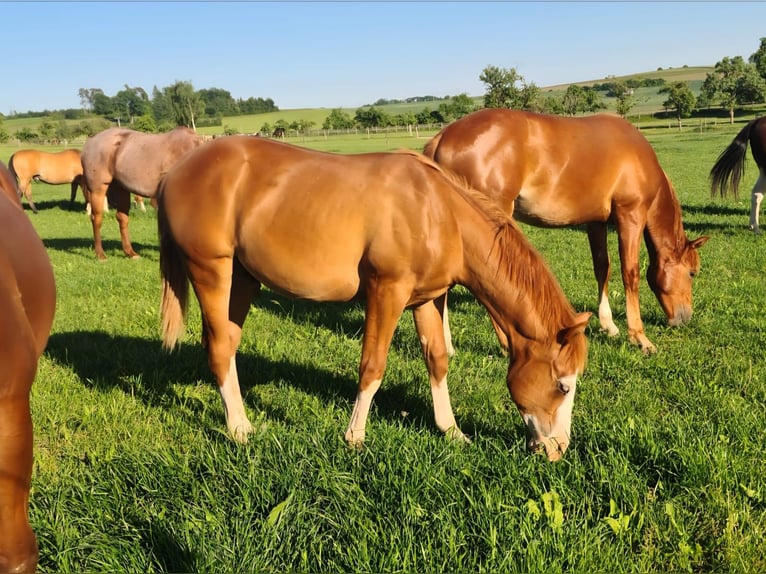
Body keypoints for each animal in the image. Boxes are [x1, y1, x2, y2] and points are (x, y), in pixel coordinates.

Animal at [80, 126, 202, 259]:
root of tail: (91, 141)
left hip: (121, 189)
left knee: (122, 218)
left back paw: (130, 253)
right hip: (98, 190)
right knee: (96, 218)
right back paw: (100, 255)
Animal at [158, 136, 591, 462]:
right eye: (563, 386)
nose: (557, 449)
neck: (439, 212)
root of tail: (175, 172)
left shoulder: (427, 299)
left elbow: (437, 360)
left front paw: (451, 431)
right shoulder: (387, 291)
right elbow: (372, 365)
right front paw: (355, 436)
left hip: (243, 279)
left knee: (228, 344)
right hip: (211, 270)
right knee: (218, 347)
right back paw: (239, 429)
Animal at [423, 108, 708, 354]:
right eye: (692, 273)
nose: (684, 318)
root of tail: (442, 137)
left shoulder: (596, 222)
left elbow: (602, 268)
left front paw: (609, 325)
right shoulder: (631, 216)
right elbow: (631, 273)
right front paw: (639, 337)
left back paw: (447, 346)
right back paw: (503, 344)